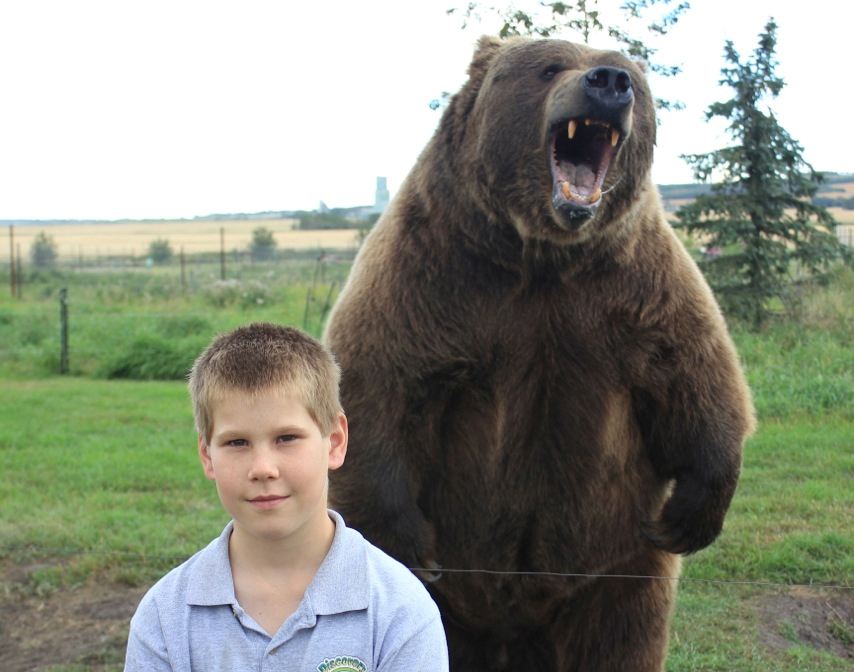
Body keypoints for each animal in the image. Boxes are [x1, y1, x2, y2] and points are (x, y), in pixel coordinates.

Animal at [326, 36, 756, 672]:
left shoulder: (633, 288)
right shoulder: (433, 277)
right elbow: (379, 384)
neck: (543, 253)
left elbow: (696, 373)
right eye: (549, 67)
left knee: (621, 635)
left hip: (616, 570)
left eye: (630, 76)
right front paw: (408, 543)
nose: (608, 83)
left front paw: (691, 514)